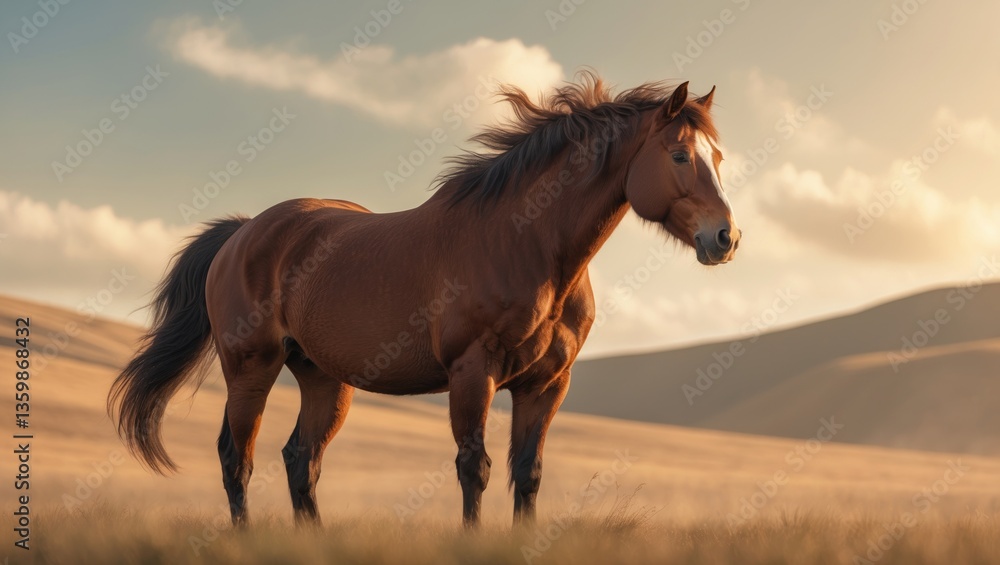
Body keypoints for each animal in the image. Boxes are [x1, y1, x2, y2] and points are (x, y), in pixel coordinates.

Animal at [108, 73, 741, 528]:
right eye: (680, 156)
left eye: (718, 157)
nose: (725, 238)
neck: (525, 243)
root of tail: (243, 232)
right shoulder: (472, 373)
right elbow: (474, 469)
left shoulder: (545, 385)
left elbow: (527, 474)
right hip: (251, 369)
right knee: (236, 457)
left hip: (323, 378)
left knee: (299, 460)